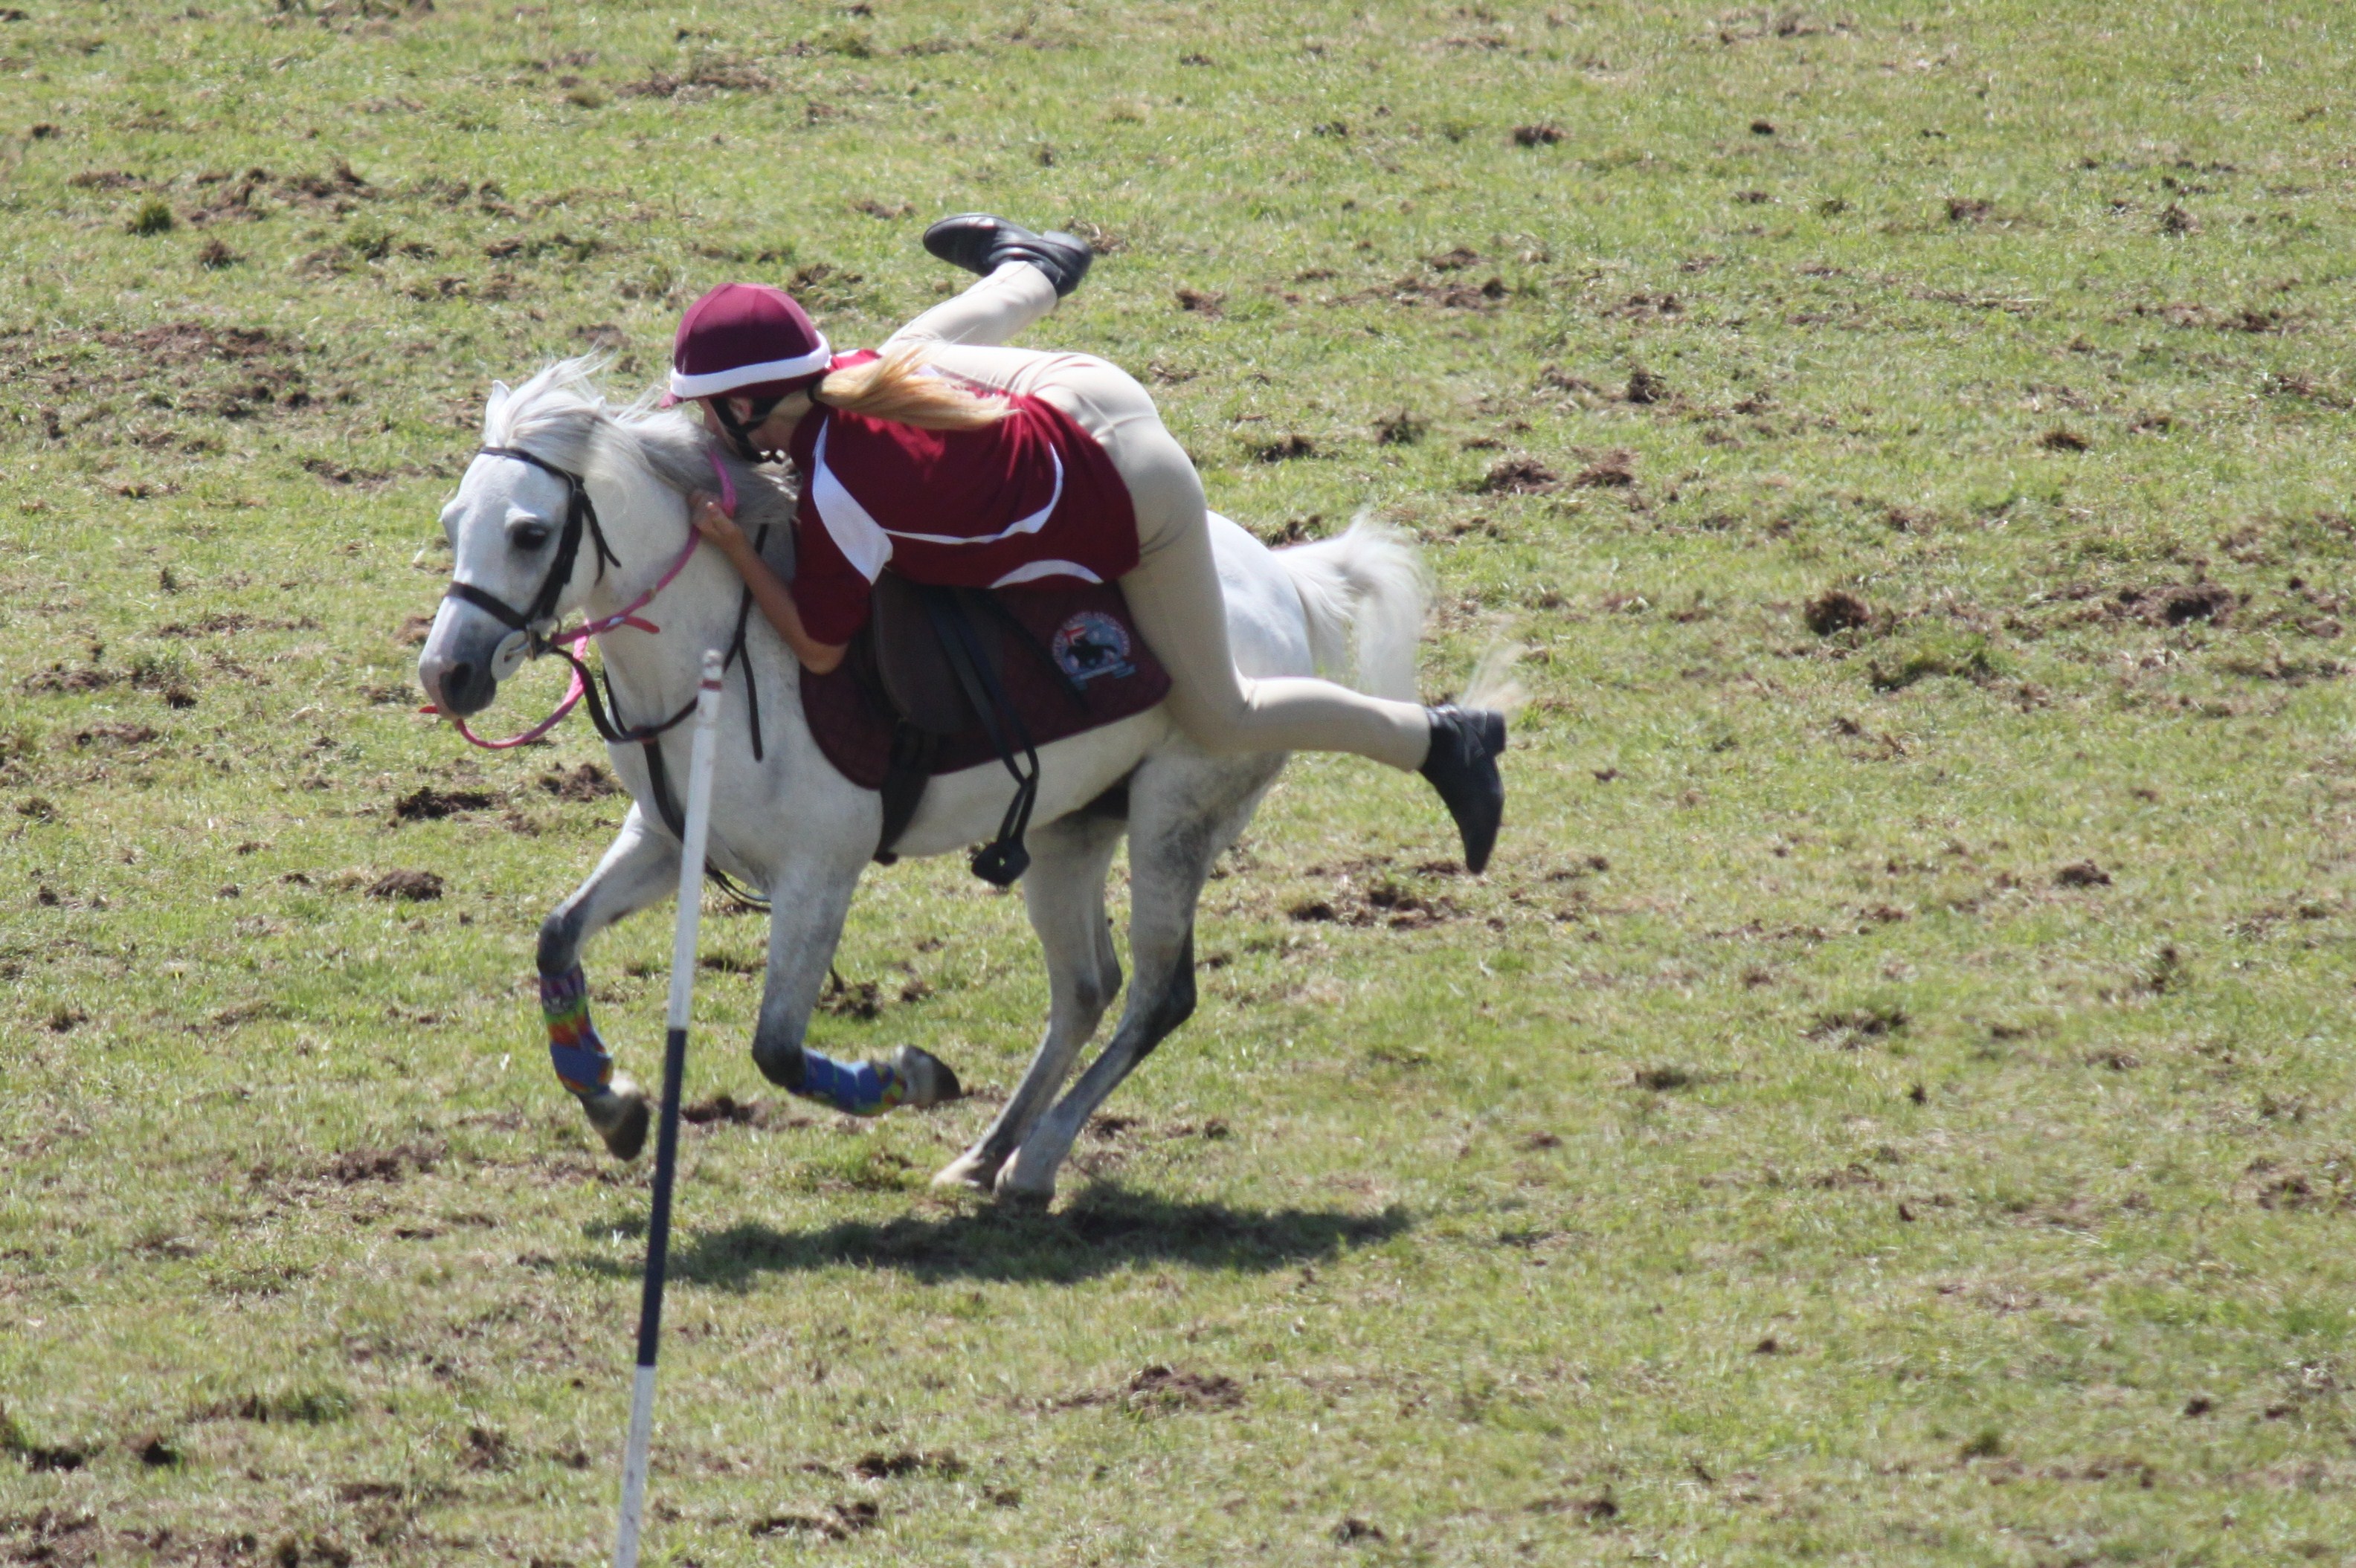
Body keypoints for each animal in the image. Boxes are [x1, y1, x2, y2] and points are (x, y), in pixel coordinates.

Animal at [414, 362, 1423, 1196]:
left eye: (529, 531)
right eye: (454, 523)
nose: (445, 674)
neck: (717, 657)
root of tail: (1281, 580)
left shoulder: (820, 875)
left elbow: (778, 1049)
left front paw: (912, 1076)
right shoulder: (665, 841)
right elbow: (557, 938)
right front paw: (612, 1104)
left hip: (1177, 817)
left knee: (1157, 993)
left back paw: (1037, 1160)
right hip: (1069, 830)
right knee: (1085, 988)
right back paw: (987, 1154)